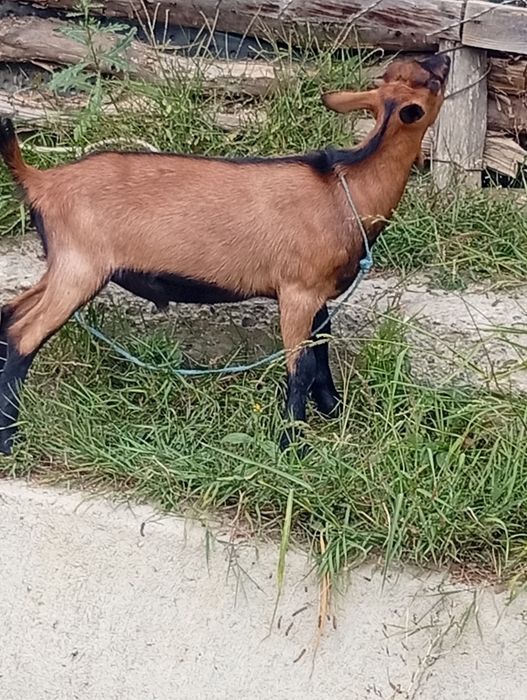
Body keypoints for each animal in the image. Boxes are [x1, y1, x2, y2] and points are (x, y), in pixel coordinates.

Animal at [0, 53, 450, 455]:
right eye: (433, 82)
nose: (445, 58)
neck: (346, 187)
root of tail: (41, 181)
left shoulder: (318, 293)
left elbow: (322, 348)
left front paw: (332, 411)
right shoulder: (297, 291)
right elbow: (301, 366)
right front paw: (292, 446)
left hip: (62, 265)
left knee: (10, 314)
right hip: (80, 268)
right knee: (25, 335)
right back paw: (9, 440)